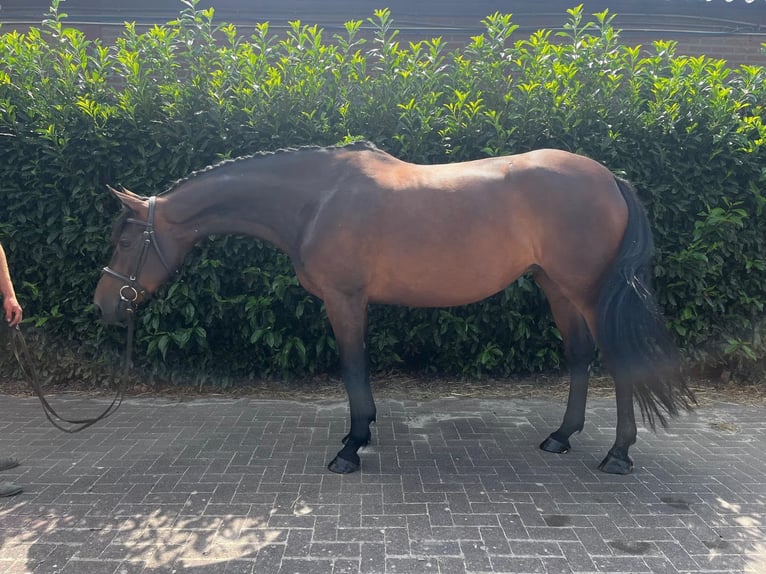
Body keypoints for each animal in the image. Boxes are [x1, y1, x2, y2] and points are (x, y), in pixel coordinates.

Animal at [93, 141, 693, 475]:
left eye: (123, 240)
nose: (104, 306)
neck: (315, 200)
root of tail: (610, 178)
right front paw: (356, 435)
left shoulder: (345, 300)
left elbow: (353, 368)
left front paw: (352, 447)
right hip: (557, 287)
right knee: (579, 356)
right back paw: (561, 437)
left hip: (589, 291)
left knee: (615, 361)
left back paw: (618, 455)